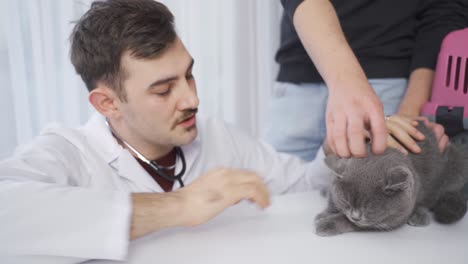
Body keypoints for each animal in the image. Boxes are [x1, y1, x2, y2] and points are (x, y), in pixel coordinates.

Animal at [316, 122, 466, 236]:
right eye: (346, 202)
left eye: (370, 210)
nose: (355, 217)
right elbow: (333, 197)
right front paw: (325, 213)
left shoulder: (389, 220)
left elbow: (354, 223)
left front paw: (327, 223)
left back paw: (419, 215)